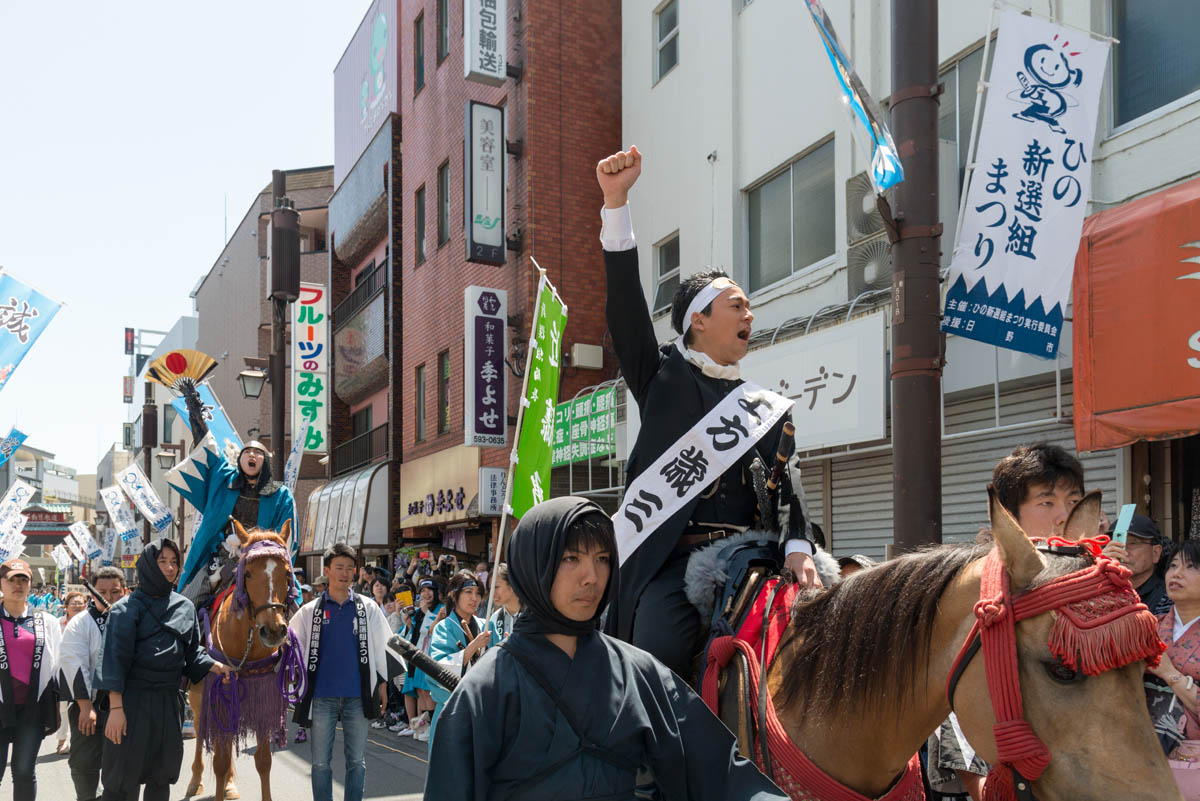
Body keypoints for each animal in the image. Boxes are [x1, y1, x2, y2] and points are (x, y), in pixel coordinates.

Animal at [184, 520, 304, 801]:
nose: (273, 630)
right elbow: (218, 759)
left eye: (286, 573)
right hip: (198, 694)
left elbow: (263, 761)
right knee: (200, 731)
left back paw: (229, 783)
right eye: (247, 574)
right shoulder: (218, 691)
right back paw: (195, 780)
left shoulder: (263, 696)